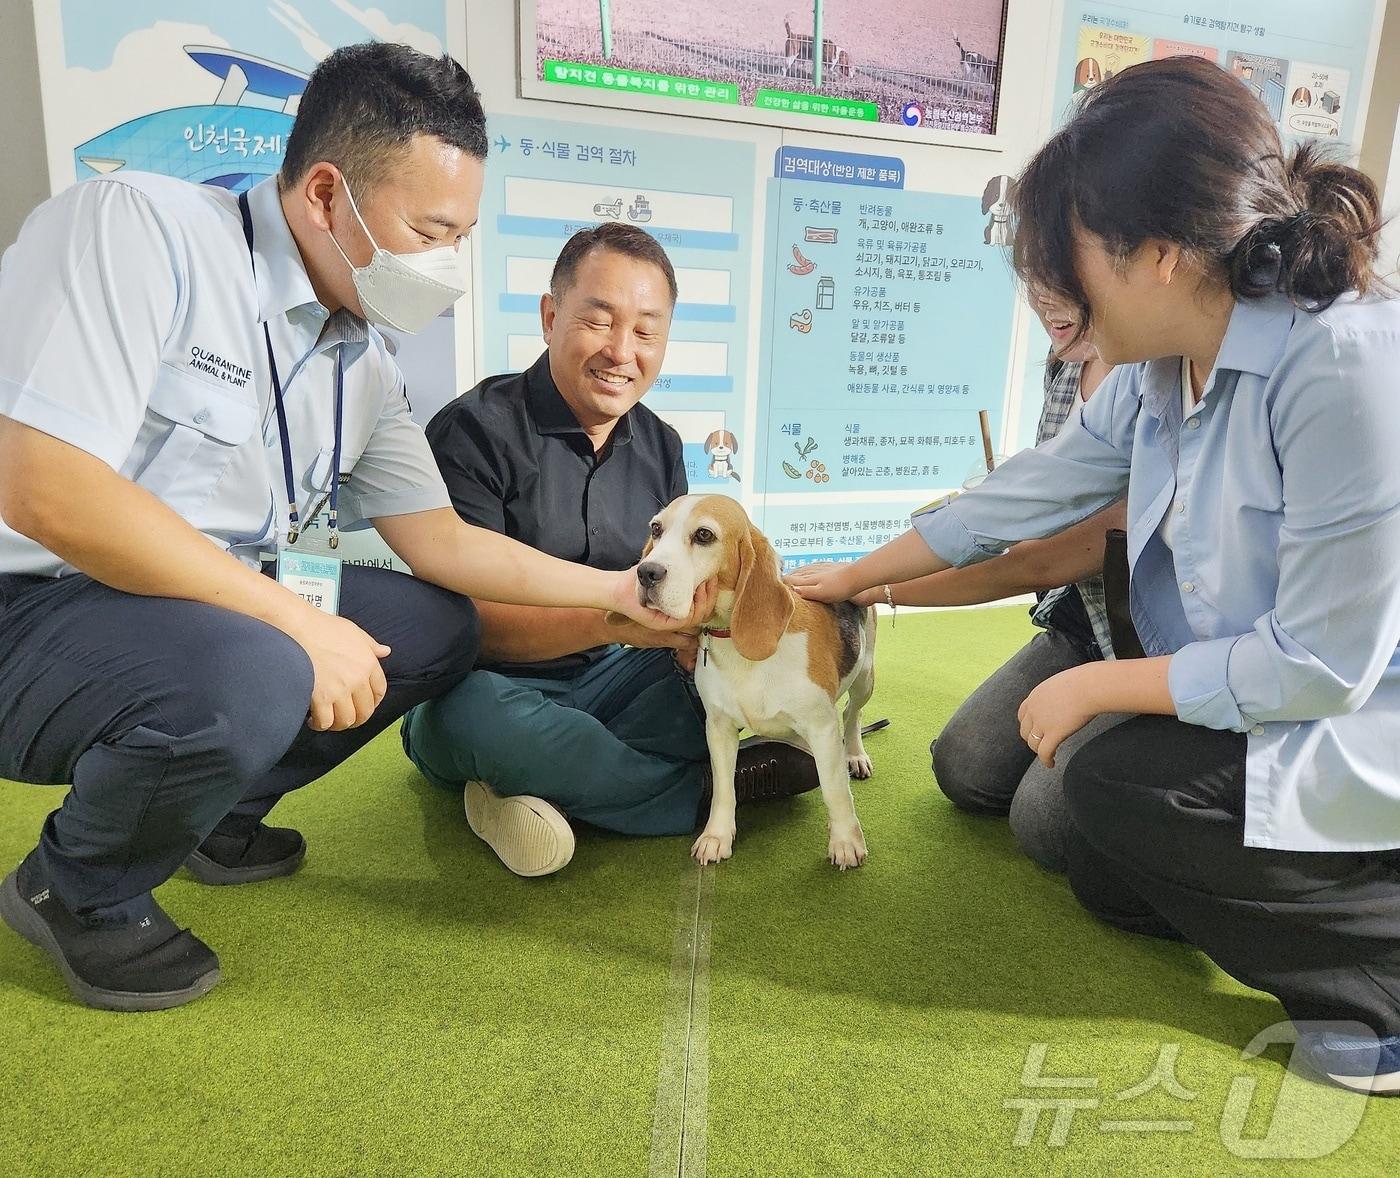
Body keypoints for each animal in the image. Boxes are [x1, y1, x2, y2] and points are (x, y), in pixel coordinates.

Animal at [638, 493, 873, 868]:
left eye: (704, 535)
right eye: (656, 529)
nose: (646, 572)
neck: (736, 645)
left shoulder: (822, 728)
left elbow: (835, 790)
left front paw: (846, 842)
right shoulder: (718, 728)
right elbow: (723, 789)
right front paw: (716, 836)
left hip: (865, 678)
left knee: (852, 714)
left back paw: (855, 754)